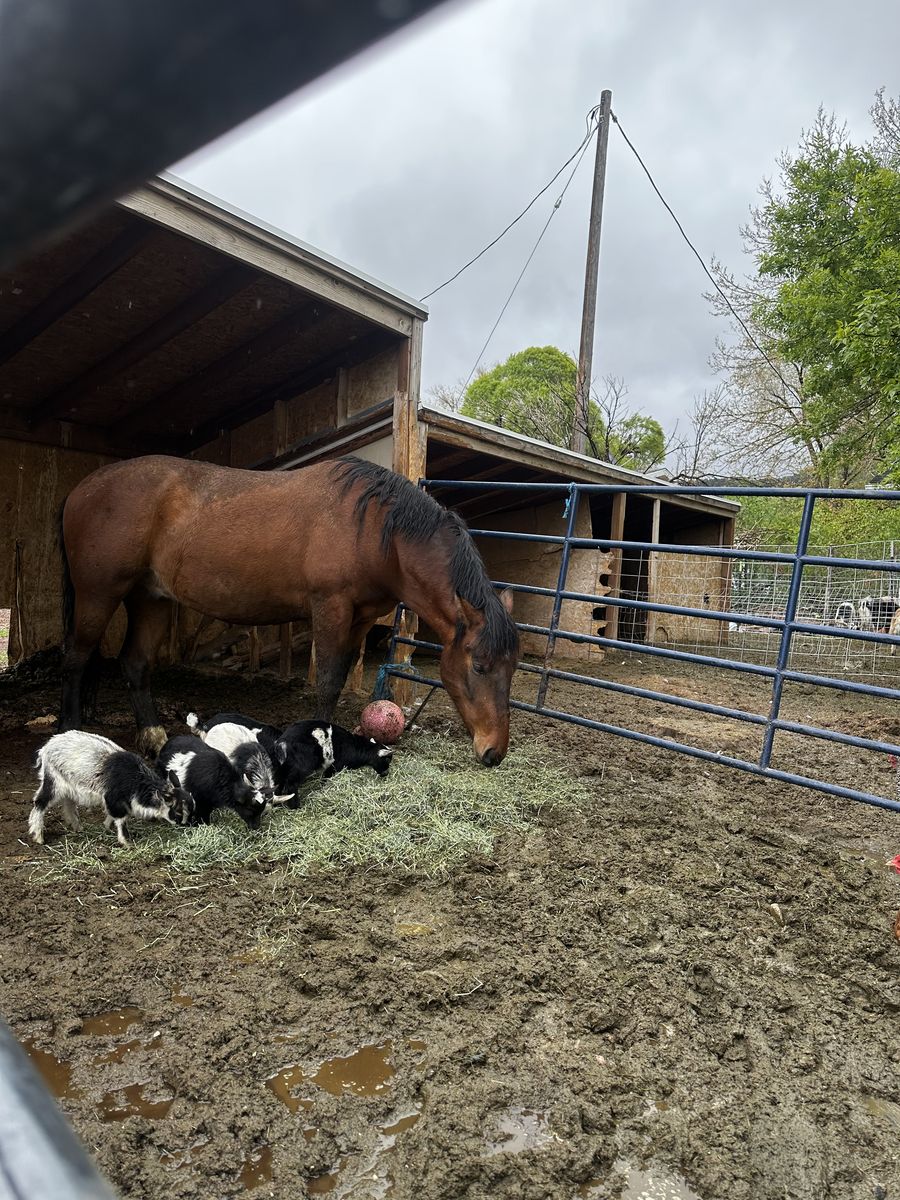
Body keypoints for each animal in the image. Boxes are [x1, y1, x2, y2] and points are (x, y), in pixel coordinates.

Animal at [29, 731, 193, 847]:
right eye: (178, 812)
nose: (184, 825)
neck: (136, 780)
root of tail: (46, 747)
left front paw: (107, 827)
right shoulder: (113, 797)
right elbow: (121, 817)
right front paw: (125, 841)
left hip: (69, 786)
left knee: (68, 803)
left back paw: (77, 827)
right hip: (53, 780)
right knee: (40, 802)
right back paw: (38, 836)